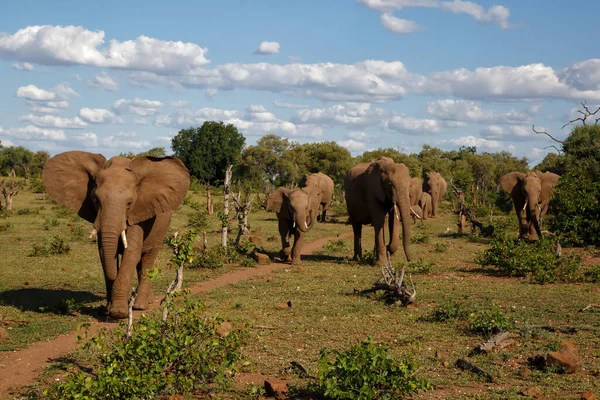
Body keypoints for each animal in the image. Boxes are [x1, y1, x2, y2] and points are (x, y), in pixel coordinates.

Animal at [42, 151, 190, 318]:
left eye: (129, 203)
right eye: (95, 200)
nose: (106, 307)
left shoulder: (137, 213)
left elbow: (130, 252)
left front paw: (118, 313)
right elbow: (104, 254)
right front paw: (108, 309)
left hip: (162, 225)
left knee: (148, 258)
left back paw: (140, 305)